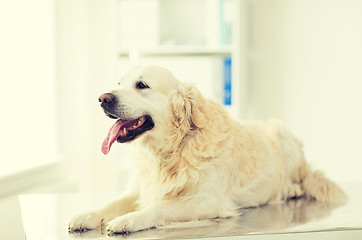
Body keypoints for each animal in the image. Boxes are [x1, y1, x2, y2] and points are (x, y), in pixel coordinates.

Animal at [67, 64, 346, 233]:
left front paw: (128, 219)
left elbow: (159, 207)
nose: (102, 98)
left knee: (300, 178)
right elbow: (110, 203)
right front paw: (86, 215)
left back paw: (291, 189)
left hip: (284, 135)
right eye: (119, 84)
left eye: (142, 85)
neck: (170, 151)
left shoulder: (208, 201)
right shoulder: (140, 189)